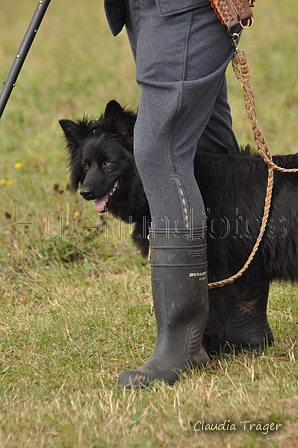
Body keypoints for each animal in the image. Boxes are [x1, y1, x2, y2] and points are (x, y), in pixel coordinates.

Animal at [59, 100, 298, 354]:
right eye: (86, 165)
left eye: (107, 163)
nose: (85, 192)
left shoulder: (213, 265)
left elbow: (207, 308)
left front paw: (198, 350)